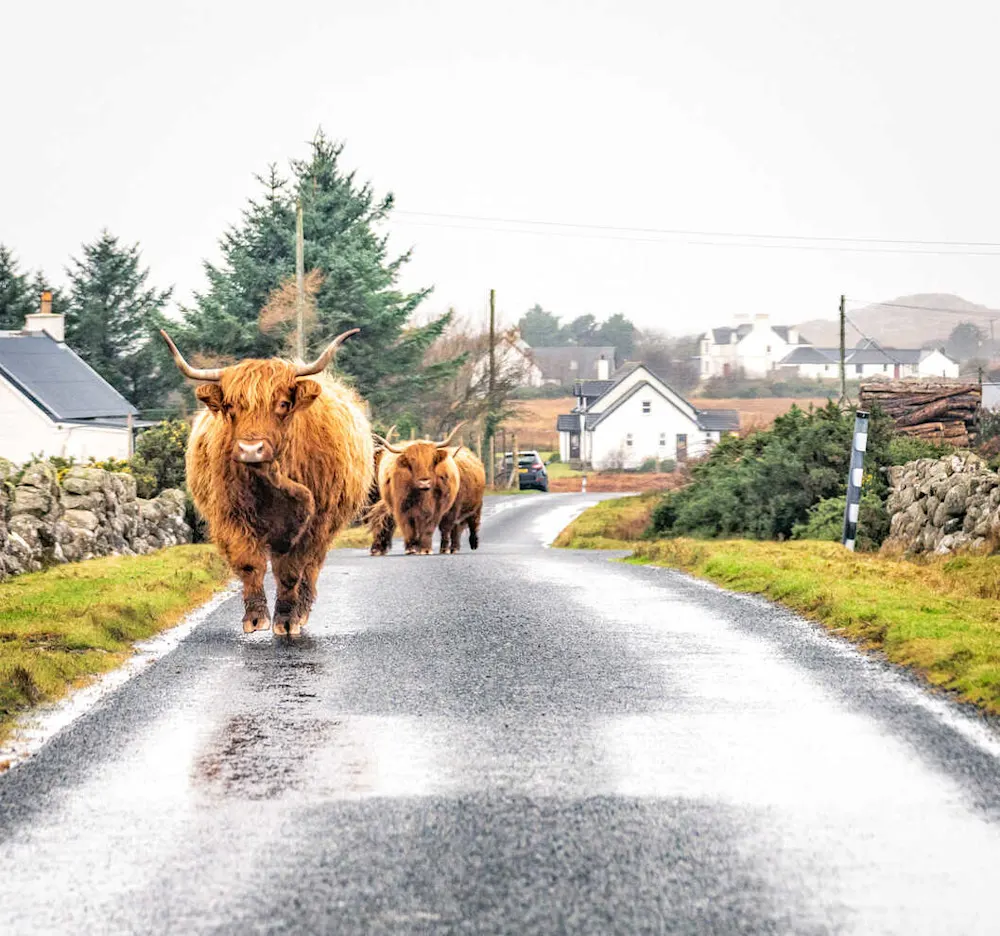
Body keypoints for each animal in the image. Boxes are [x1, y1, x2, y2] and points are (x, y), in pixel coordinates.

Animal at [161, 329, 373, 636]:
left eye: (282, 404)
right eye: (230, 406)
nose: (251, 449)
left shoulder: (313, 523)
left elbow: (291, 572)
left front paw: (286, 619)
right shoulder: (231, 516)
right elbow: (250, 564)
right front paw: (255, 617)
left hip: (327, 528)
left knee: (311, 568)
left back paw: (302, 610)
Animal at [367, 425, 465, 555]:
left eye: (431, 461)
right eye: (411, 461)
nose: (424, 482)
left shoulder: (436, 509)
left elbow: (428, 528)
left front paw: (425, 549)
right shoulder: (400, 507)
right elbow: (403, 526)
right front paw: (410, 548)